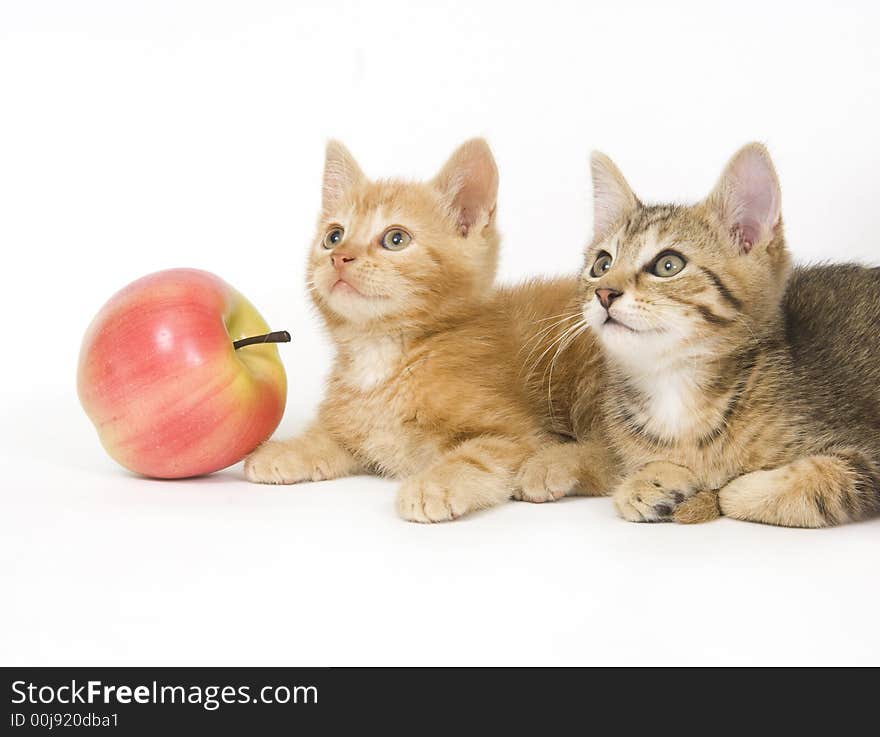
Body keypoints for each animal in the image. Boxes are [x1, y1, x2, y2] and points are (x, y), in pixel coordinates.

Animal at [248, 137, 604, 516]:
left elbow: (476, 456)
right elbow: (329, 438)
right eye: (333, 236)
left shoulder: (517, 434)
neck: (382, 353)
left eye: (396, 239)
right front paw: (288, 450)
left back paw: (550, 468)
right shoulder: (359, 432)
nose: (339, 257)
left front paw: (433, 485)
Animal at [568, 142, 876, 524]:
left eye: (668, 265)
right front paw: (649, 481)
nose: (604, 293)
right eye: (602, 264)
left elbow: (817, 481)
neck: (674, 384)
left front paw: (733, 488)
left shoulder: (867, 449)